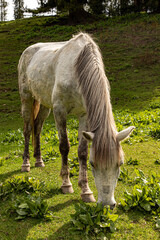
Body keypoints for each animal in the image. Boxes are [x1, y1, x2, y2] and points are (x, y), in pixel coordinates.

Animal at [18, 32, 134, 208]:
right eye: (93, 164)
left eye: (120, 163)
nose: (107, 204)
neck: (76, 71)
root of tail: (29, 49)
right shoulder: (60, 111)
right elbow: (64, 147)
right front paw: (66, 184)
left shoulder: (84, 115)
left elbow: (82, 151)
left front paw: (86, 191)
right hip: (26, 98)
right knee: (27, 130)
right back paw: (26, 164)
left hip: (44, 103)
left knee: (37, 128)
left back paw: (39, 160)